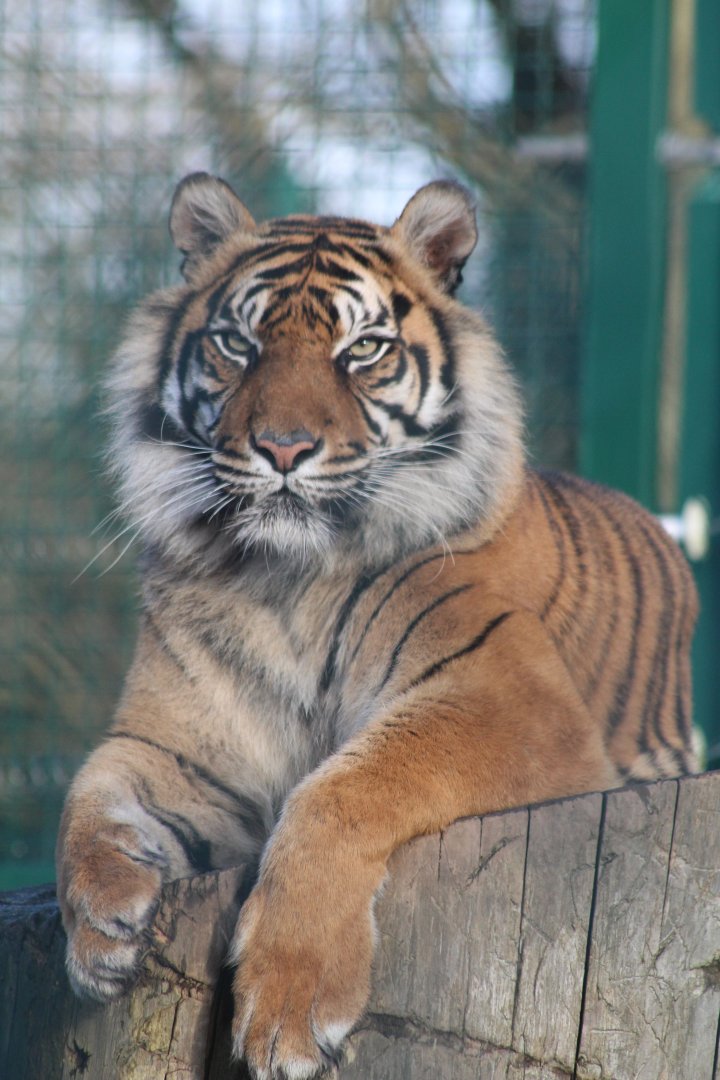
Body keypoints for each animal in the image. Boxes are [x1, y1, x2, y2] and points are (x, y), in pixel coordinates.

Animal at [56, 173, 699, 1080]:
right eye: (238, 345)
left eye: (361, 350)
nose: (282, 448)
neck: (284, 581)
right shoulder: (180, 745)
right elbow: (90, 792)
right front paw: (100, 926)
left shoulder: (512, 699)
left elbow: (344, 786)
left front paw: (289, 1005)